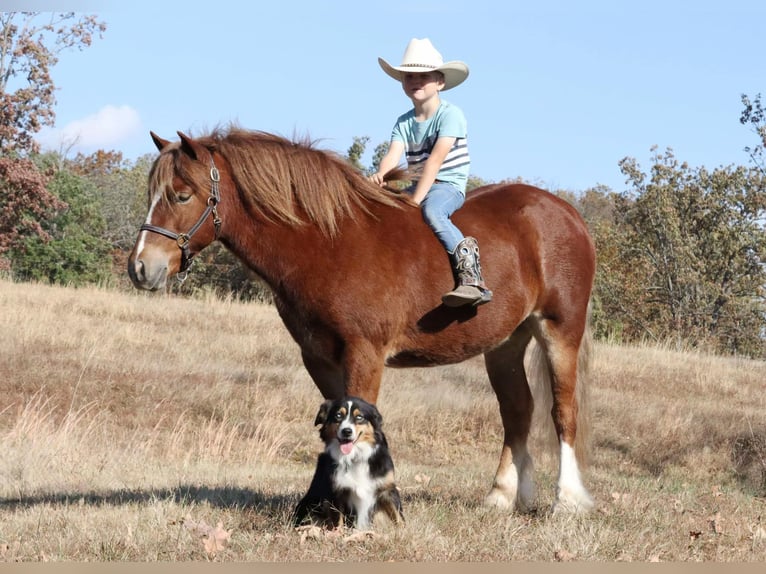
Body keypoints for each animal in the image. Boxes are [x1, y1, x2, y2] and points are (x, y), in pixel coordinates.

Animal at [127, 128, 600, 516]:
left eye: (182, 195)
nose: (141, 267)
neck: (329, 240)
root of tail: (569, 214)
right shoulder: (319, 358)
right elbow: (334, 430)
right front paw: (323, 504)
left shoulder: (365, 353)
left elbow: (359, 427)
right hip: (505, 343)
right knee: (517, 410)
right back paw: (502, 497)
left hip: (559, 329)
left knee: (562, 411)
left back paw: (567, 501)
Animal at [292, 400, 404, 532]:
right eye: (338, 415)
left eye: (359, 417)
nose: (346, 431)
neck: (354, 457)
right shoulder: (336, 492)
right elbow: (337, 520)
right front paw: (338, 534)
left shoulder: (387, 488)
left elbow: (399, 517)